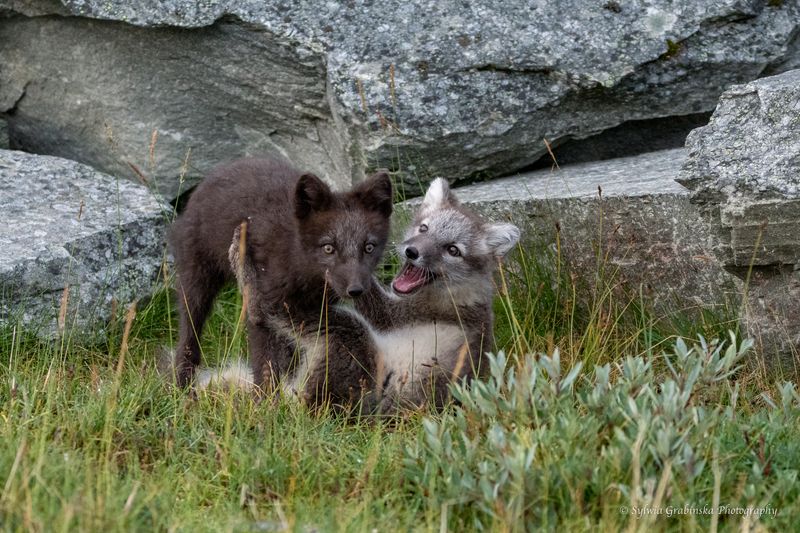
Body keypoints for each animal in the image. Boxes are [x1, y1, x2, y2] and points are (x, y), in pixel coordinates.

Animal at [168, 157, 393, 396]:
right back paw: (182, 386)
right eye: (328, 248)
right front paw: (265, 399)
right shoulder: (262, 304)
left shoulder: (314, 306)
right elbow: (264, 361)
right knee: (188, 334)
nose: (356, 290)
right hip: (197, 281)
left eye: (369, 247)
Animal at [223, 177, 520, 414]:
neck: (460, 289)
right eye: (424, 228)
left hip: (350, 339)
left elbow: (368, 292)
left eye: (453, 250)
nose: (411, 251)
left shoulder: (392, 315)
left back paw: (242, 258)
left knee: (271, 312)